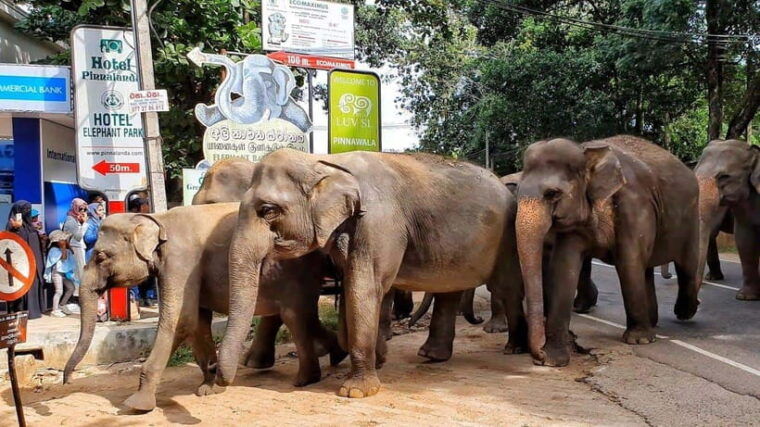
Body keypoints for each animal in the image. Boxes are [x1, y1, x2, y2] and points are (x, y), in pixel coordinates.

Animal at [63, 203, 346, 412]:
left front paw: (135, 405)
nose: (67, 380)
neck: (156, 219)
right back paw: (335, 352)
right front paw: (208, 387)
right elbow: (196, 322)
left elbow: (180, 319)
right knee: (299, 315)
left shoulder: (181, 261)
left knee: (294, 315)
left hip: (296, 271)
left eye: (100, 256)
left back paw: (306, 379)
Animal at [217, 148, 527, 398]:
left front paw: (355, 392)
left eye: (268, 210)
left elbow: (363, 287)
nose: (219, 383)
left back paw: (515, 349)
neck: (326, 162)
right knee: (449, 290)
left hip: (506, 239)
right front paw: (373, 359)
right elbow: (354, 287)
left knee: (508, 288)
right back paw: (432, 356)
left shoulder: (379, 222)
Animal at [515, 135, 701, 367]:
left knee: (686, 266)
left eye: (552, 193)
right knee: (646, 270)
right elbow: (564, 267)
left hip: (691, 218)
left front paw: (637, 341)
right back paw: (653, 323)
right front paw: (552, 360)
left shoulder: (635, 206)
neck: (584, 150)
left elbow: (628, 262)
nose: (538, 353)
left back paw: (683, 313)